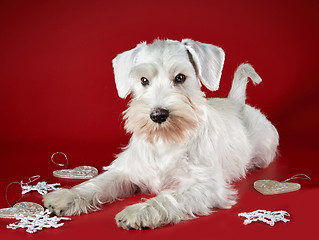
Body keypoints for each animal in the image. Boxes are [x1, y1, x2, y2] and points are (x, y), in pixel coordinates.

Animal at [43, 38, 280, 230]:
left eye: (180, 77)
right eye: (143, 80)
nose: (158, 115)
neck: (165, 140)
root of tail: (236, 102)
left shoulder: (206, 186)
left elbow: (169, 197)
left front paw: (139, 211)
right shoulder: (126, 171)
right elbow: (98, 183)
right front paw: (67, 195)